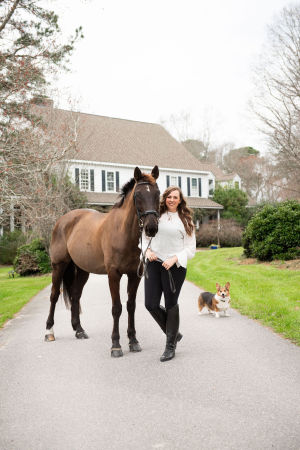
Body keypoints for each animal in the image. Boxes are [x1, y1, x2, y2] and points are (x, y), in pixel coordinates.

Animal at [44, 163, 161, 356]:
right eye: (138, 195)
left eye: (158, 193)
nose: (151, 228)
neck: (123, 233)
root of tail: (62, 220)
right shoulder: (113, 274)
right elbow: (116, 308)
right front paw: (116, 345)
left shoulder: (134, 275)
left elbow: (130, 306)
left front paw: (133, 341)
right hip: (58, 266)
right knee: (54, 295)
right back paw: (49, 332)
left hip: (82, 270)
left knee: (75, 295)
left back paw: (79, 330)